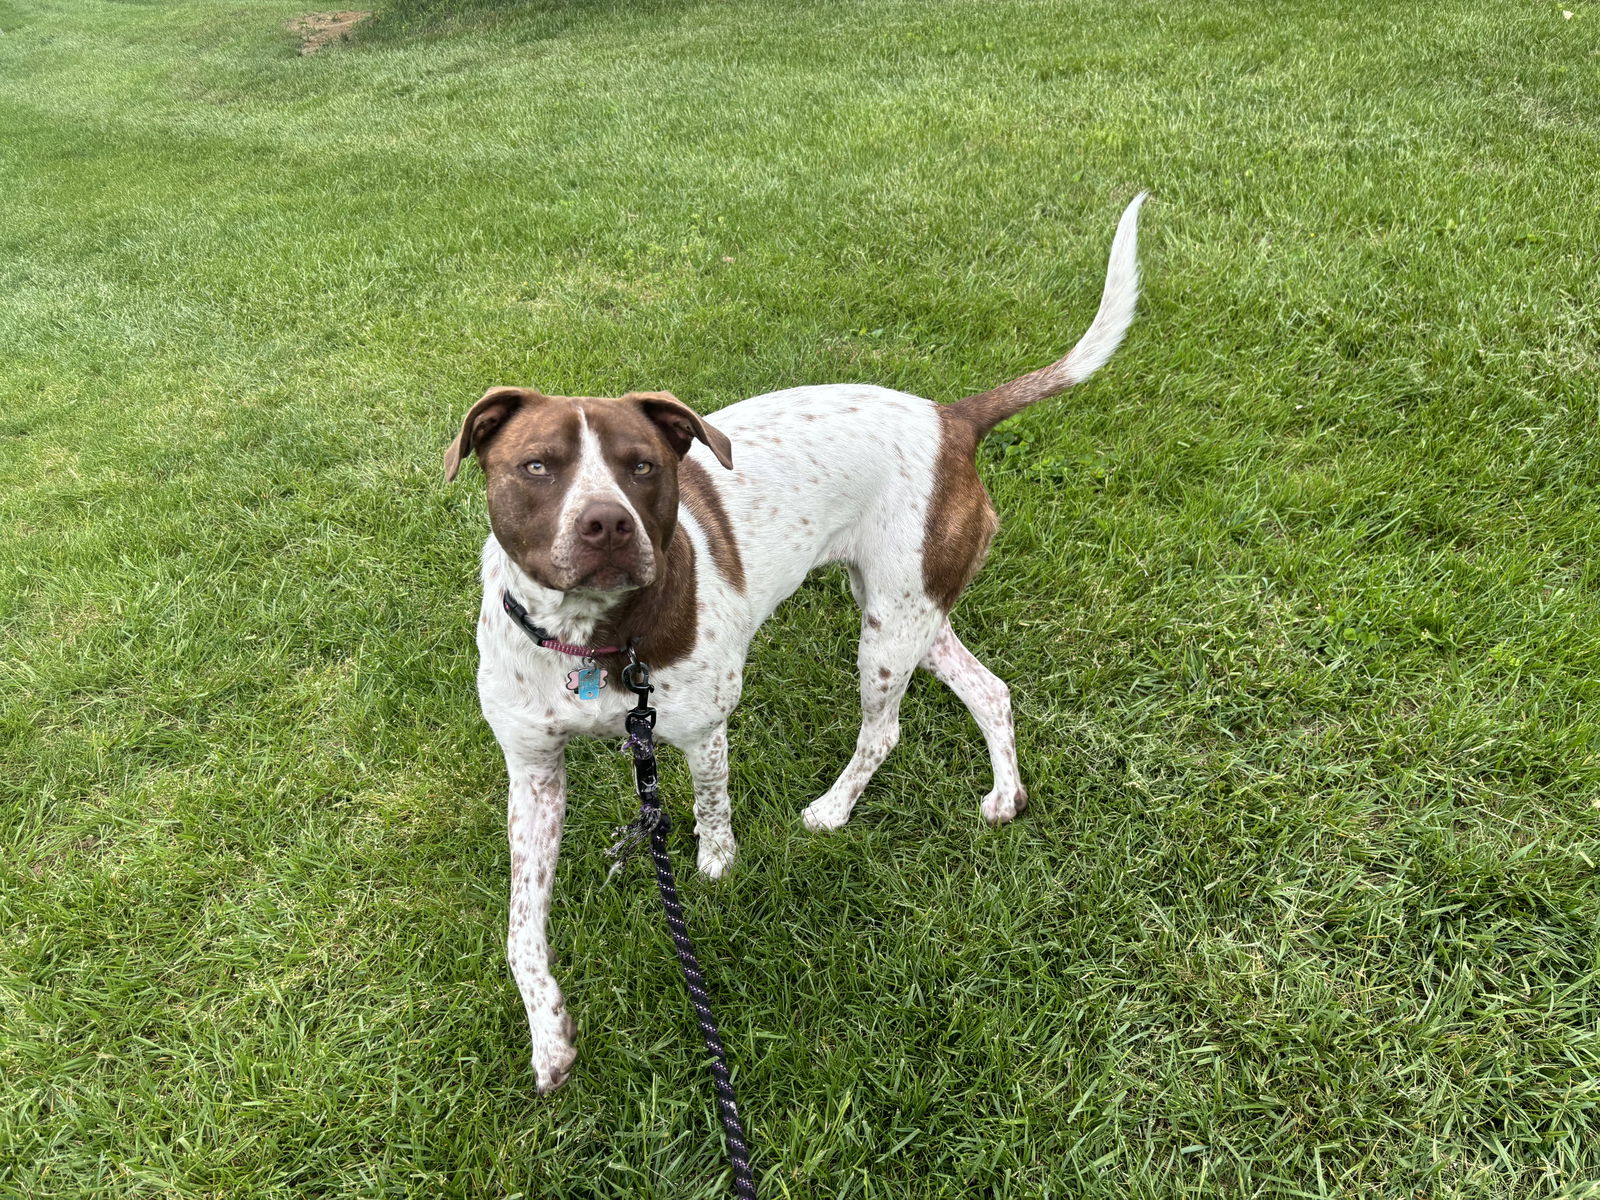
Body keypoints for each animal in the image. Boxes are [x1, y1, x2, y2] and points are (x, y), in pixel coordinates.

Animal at [444, 192, 1145, 1094]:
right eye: (537, 466)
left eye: (642, 466)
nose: (606, 524)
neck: (587, 642)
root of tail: (950, 419)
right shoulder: (533, 773)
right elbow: (520, 931)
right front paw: (548, 1036)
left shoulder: (701, 727)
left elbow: (710, 809)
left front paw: (715, 866)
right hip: (912, 612)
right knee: (990, 689)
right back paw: (1002, 795)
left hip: (886, 635)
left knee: (885, 730)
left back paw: (834, 810)